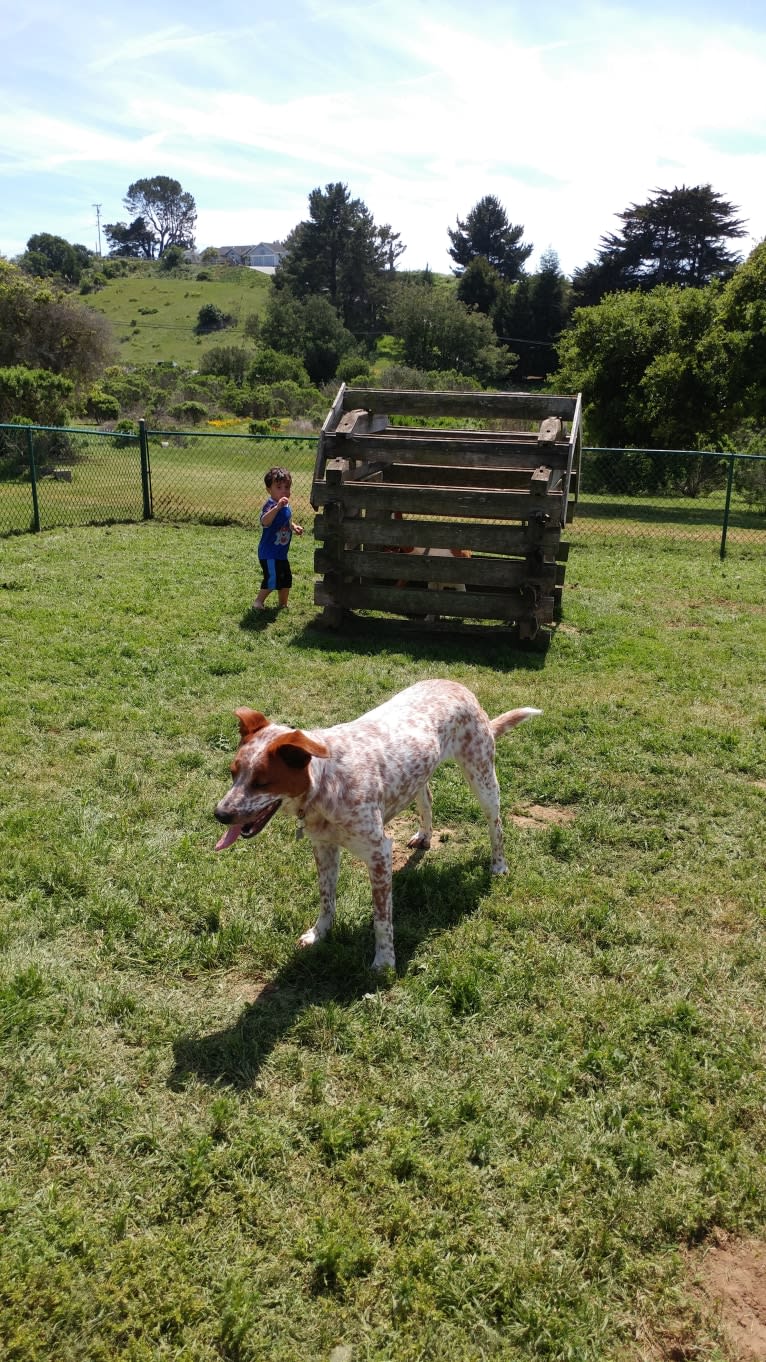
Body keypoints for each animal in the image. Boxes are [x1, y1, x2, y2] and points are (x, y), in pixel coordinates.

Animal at [211, 678, 539, 969]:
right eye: (233, 773)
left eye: (262, 782)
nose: (220, 814)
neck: (325, 783)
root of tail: (458, 685)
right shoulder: (324, 847)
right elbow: (326, 898)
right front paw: (319, 934)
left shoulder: (379, 853)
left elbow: (382, 919)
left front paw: (384, 962)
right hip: (419, 775)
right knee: (427, 798)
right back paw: (424, 835)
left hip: (482, 775)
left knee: (495, 823)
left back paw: (498, 865)